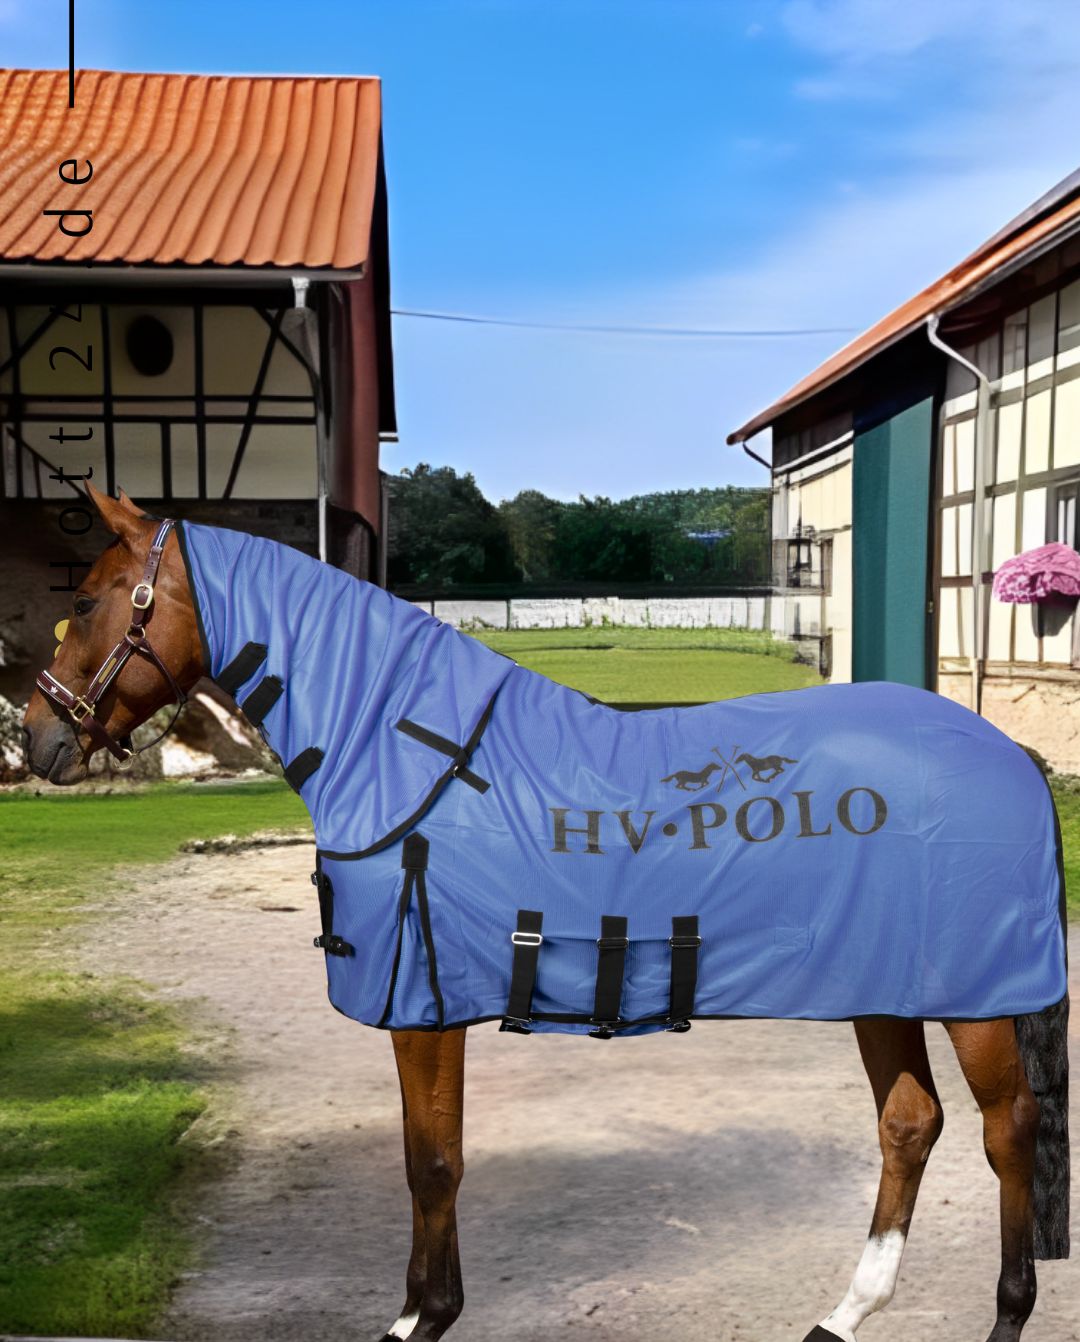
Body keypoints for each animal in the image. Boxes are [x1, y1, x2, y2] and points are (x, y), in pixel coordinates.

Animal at [23, 486, 1071, 1342]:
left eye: (92, 598)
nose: (35, 739)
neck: (410, 753)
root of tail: (1008, 751)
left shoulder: (425, 1011)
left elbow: (431, 1163)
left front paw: (420, 1318)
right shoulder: (429, 1008)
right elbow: (432, 1155)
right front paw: (429, 1310)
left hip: (974, 1002)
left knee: (1007, 1129)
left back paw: (1006, 1313)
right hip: (883, 985)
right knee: (910, 1123)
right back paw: (845, 1314)